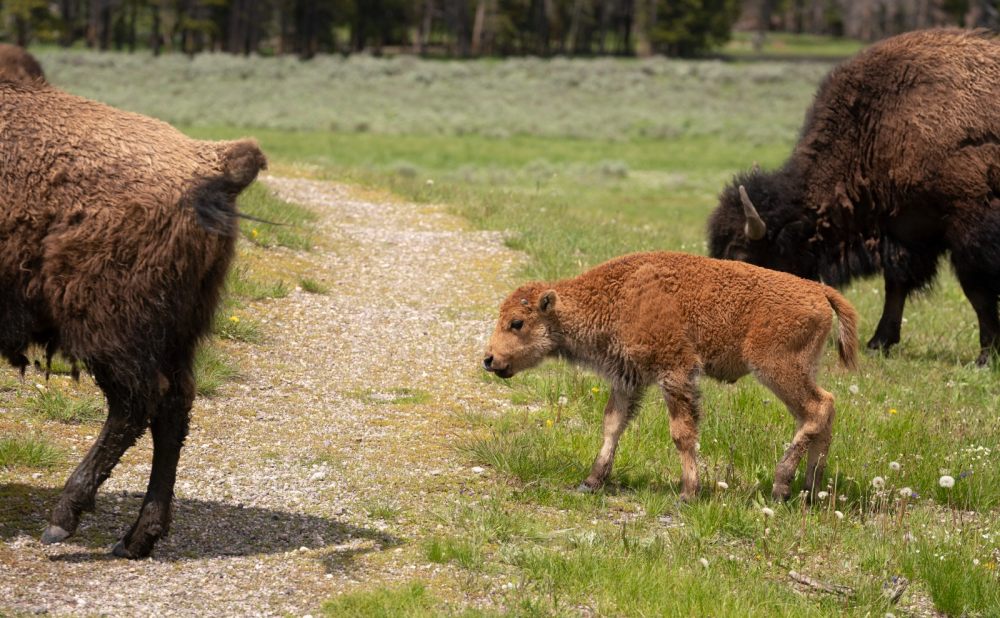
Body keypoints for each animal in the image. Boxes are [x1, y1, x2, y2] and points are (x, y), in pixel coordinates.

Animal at [0, 79, 266, 556]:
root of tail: (210, 161)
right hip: (176, 331)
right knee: (174, 406)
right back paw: (137, 539)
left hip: (110, 327)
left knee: (137, 403)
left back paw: (62, 521)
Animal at [484, 251, 860, 500]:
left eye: (517, 322)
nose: (489, 359)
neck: (618, 295)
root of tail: (817, 290)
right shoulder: (628, 379)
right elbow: (612, 424)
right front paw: (591, 481)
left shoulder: (675, 373)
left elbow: (681, 433)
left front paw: (689, 492)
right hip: (797, 371)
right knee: (821, 413)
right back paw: (811, 490)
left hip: (775, 368)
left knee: (818, 408)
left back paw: (782, 485)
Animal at [708, 28, 1000, 364]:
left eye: (742, 255)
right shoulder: (905, 228)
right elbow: (896, 284)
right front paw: (879, 342)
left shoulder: (968, 226)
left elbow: (977, 290)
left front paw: (986, 356)